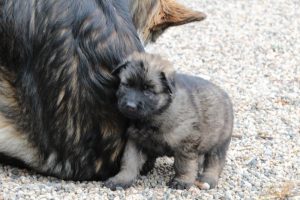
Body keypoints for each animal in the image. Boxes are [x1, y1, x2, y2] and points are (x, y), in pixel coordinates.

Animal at [104, 52, 233, 190]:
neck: (157, 114)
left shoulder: (186, 142)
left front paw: (182, 180)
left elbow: (184, 164)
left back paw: (208, 179)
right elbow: (129, 162)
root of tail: (224, 94)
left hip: (220, 142)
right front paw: (121, 179)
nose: (130, 106)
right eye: (127, 85)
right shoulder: (135, 139)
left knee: (215, 162)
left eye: (148, 90)